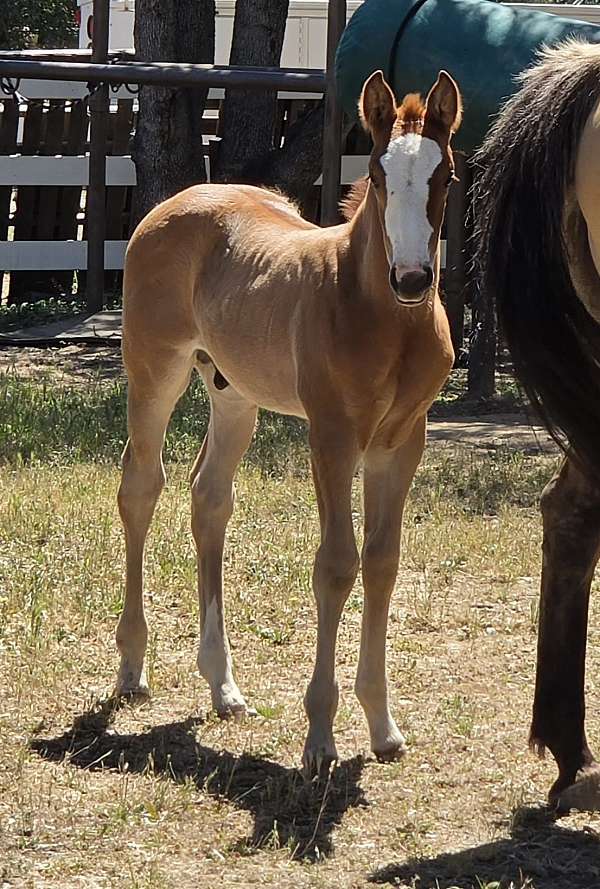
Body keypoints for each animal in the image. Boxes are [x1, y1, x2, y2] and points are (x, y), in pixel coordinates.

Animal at [115, 69, 462, 777]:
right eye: (379, 176)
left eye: (445, 175)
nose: (413, 277)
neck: (382, 317)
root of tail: (175, 202)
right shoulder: (331, 435)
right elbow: (336, 564)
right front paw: (320, 738)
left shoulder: (401, 442)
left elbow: (382, 561)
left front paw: (383, 727)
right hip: (154, 371)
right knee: (141, 487)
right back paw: (133, 668)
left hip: (234, 395)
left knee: (209, 499)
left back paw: (223, 686)